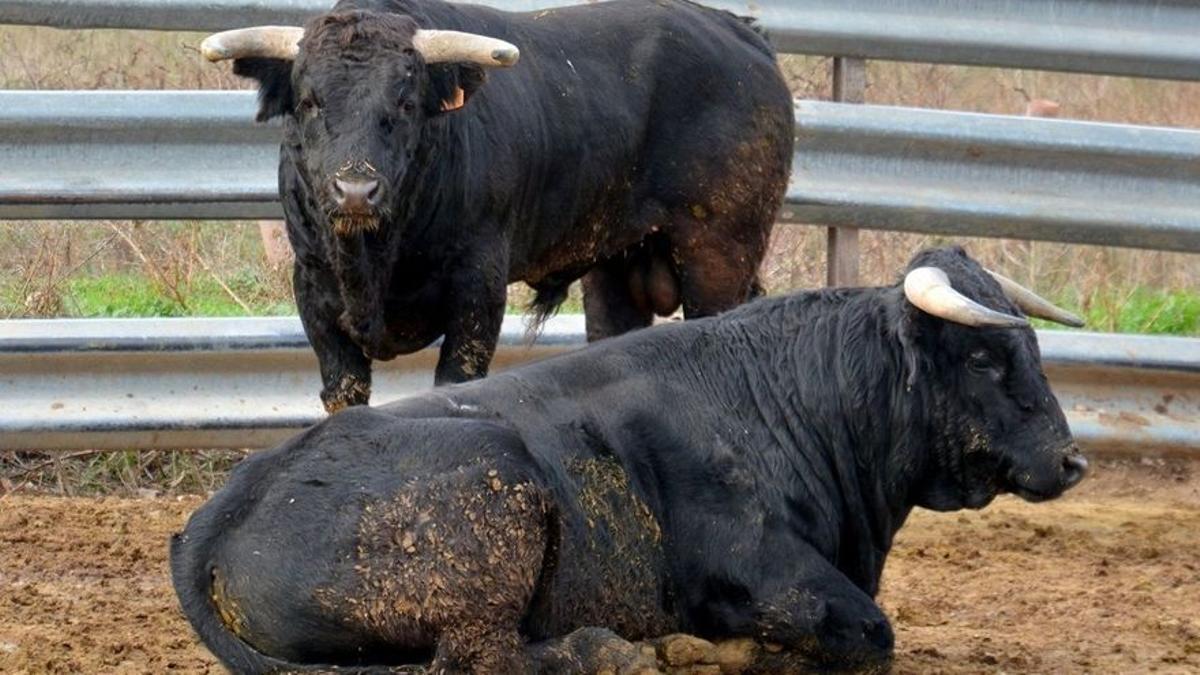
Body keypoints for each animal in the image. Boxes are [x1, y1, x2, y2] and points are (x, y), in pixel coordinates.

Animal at [171, 243, 1099, 667]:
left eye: (1032, 351)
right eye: (982, 358)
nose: (1070, 460)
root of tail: (231, 501)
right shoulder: (761, 572)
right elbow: (871, 629)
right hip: (495, 497)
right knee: (485, 655)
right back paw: (612, 649)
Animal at [200, 0, 792, 410]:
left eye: (406, 102)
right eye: (308, 102)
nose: (355, 191)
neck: (375, 258)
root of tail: (740, 32)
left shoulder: (477, 290)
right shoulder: (315, 295)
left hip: (720, 255)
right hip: (617, 267)